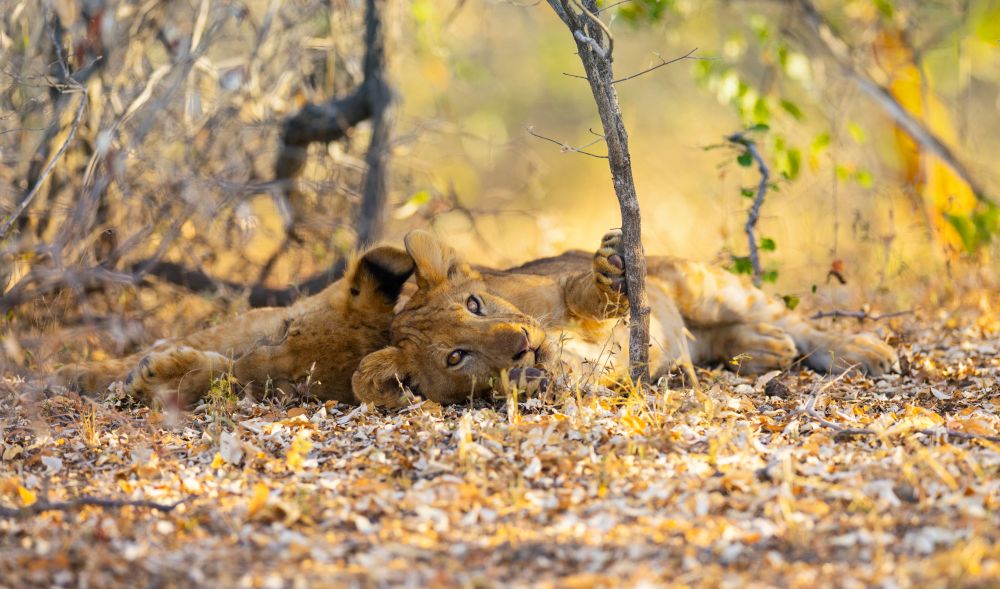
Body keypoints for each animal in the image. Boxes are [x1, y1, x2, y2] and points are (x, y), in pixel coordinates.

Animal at [56, 245, 416, 407]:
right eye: (286, 331)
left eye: (295, 385)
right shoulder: (238, 329)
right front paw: (71, 375)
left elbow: (218, 373)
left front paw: (158, 378)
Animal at [351, 230, 899, 407]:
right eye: (456, 357)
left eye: (474, 305)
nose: (523, 345)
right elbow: (565, 376)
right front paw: (528, 377)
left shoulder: (561, 287)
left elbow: (581, 294)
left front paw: (608, 271)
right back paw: (762, 348)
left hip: (705, 284)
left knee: (802, 323)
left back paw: (864, 351)